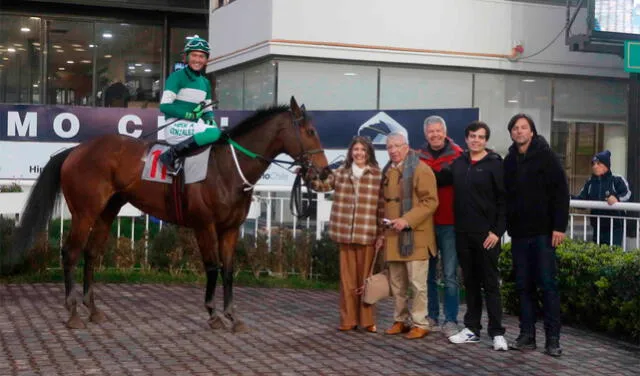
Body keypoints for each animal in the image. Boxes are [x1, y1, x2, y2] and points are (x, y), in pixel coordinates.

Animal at [11, 97, 330, 332]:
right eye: (310, 132)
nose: (324, 172)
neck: (227, 168)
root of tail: (75, 150)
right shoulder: (204, 226)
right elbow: (212, 267)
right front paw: (213, 314)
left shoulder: (230, 229)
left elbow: (228, 270)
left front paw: (232, 316)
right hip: (84, 212)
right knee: (71, 252)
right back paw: (74, 311)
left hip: (107, 211)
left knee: (91, 254)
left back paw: (93, 309)